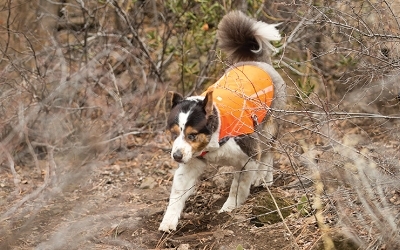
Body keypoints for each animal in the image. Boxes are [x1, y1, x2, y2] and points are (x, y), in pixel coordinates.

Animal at [158, 10, 286, 232]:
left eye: (192, 135)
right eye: (173, 134)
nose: (176, 156)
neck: (215, 137)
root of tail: (259, 63)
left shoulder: (248, 156)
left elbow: (238, 186)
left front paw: (230, 207)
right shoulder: (192, 162)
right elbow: (178, 192)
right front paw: (169, 221)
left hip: (268, 127)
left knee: (268, 153)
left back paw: (264, 178)